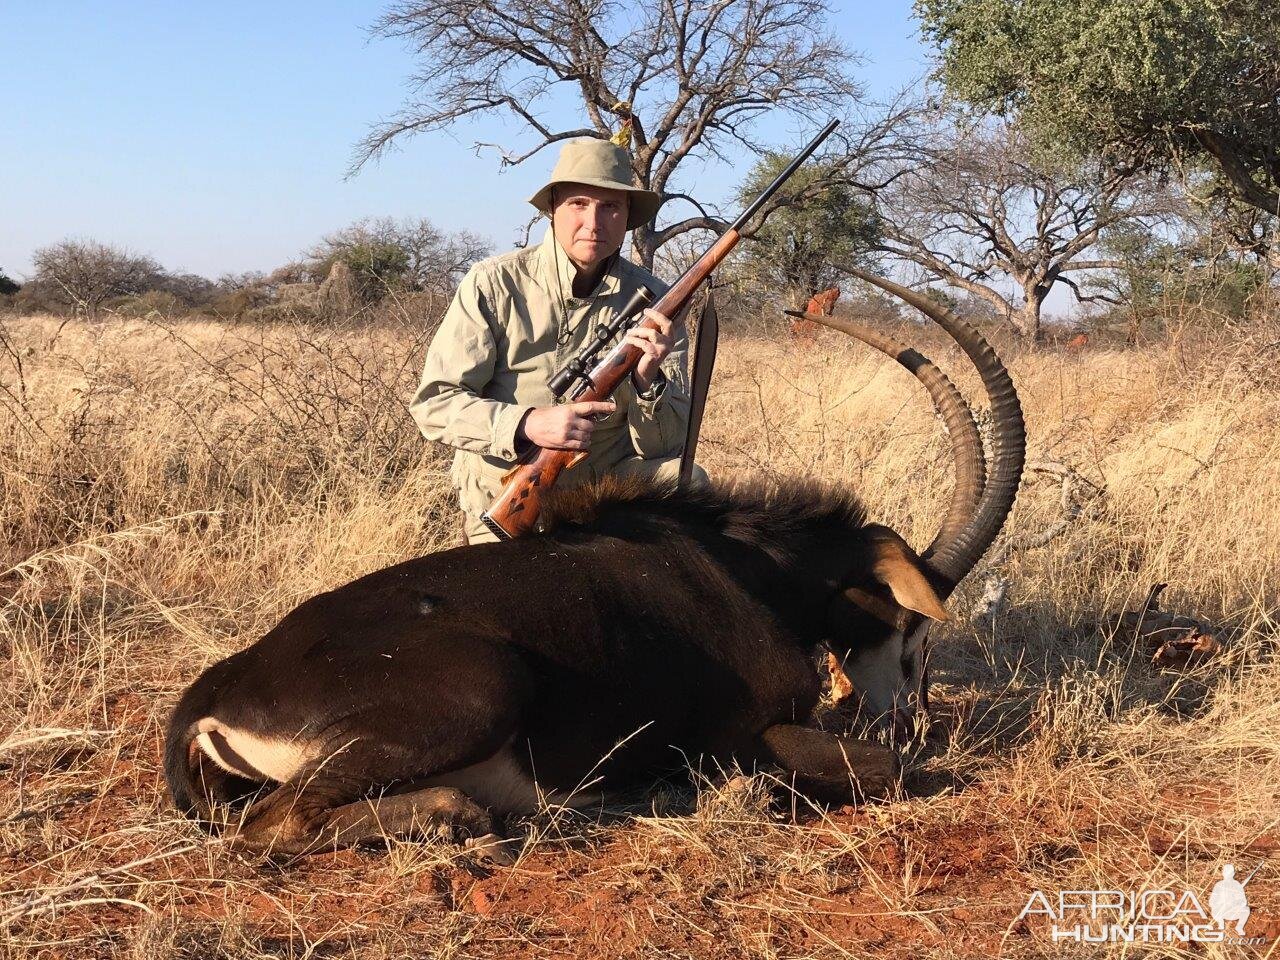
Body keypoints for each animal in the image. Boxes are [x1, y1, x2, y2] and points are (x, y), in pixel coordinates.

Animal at [165, 276, 1024, 865]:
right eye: (913, 627)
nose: (914, 721)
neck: (750, 570)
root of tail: (214, 692)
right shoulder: (741, 736)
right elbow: (887, 771)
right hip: (481, 691)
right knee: (271, 824)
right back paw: (462, 816)